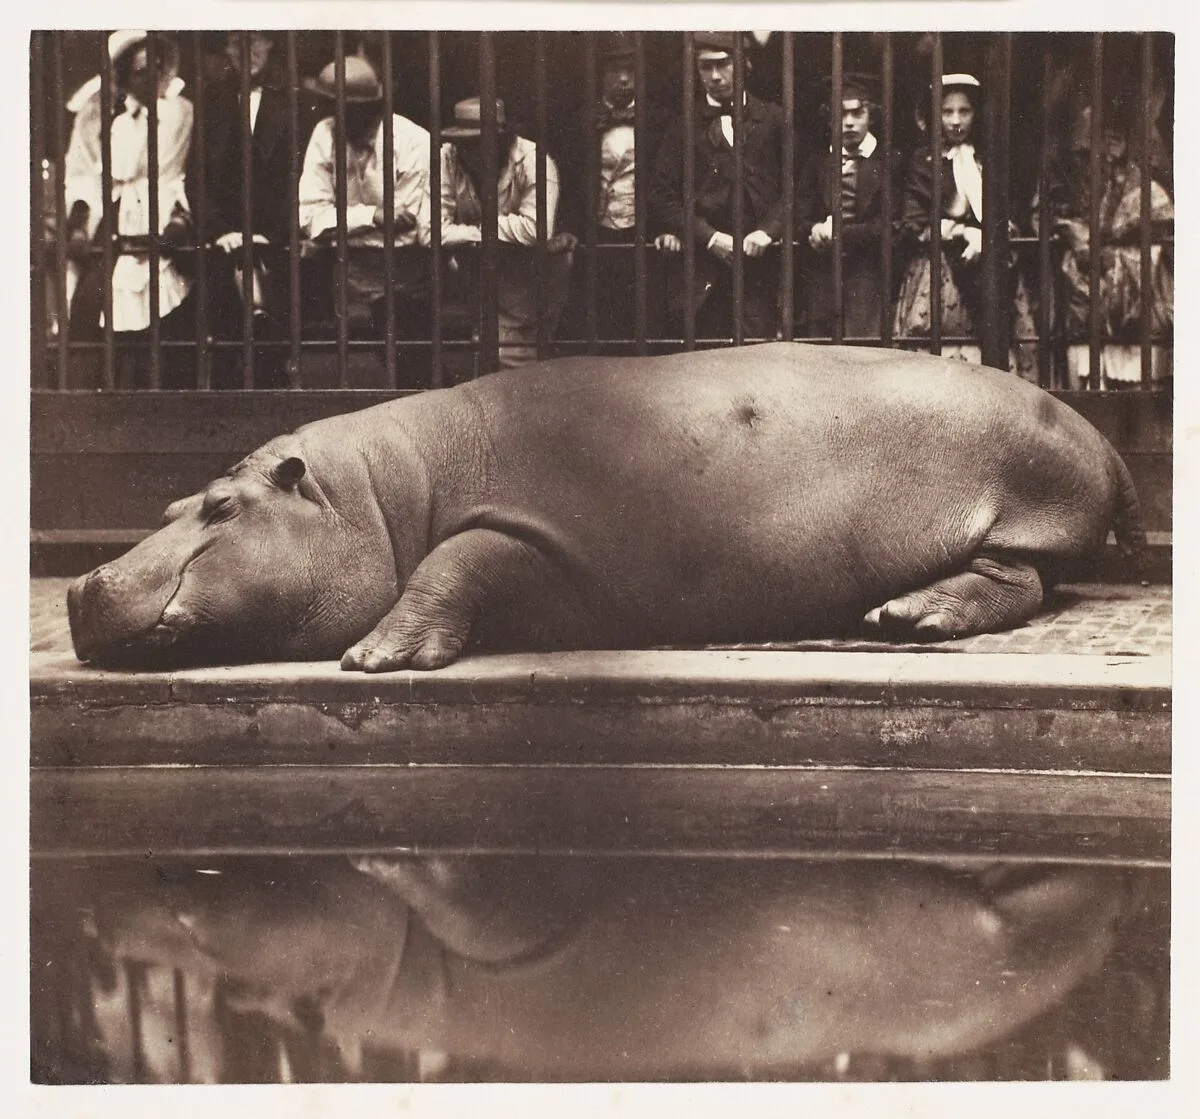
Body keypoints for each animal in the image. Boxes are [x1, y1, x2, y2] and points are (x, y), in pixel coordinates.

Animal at [67, 342, 1147, 670]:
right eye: (171, 498)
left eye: (219, 506)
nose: (79, 584)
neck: (379, 493)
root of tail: (1100, 435)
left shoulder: (522, 529)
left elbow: (452, 563)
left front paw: (375, 656)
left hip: (1020, 510)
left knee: (1019, 580)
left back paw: (908, 617)